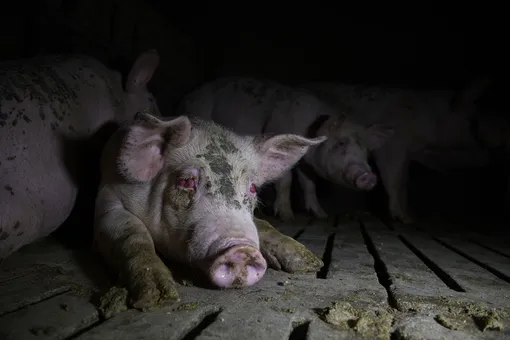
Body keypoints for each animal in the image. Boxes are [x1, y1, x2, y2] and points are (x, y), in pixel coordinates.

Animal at [95, 111, 326, 310]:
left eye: (252, 187)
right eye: (186, 181)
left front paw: (310, 263)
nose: (242, 250)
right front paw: (159, 298)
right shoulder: (108, 199)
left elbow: (264, 224)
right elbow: (131, 234)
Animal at [175, 75, 394, 222]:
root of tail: (188, 95)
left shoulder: (306, 163)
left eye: (366, 151)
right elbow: (286, 181)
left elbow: (309, 184)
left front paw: (321, 215)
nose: (370, 177)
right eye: (341, 143)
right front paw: (287, 216)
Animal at [302, 78, 494, 224]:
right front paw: (405, 220)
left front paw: (411, 217)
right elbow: (394, 180)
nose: (496, 136)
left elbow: (403, 181)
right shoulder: (394, 146)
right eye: (473, 120)